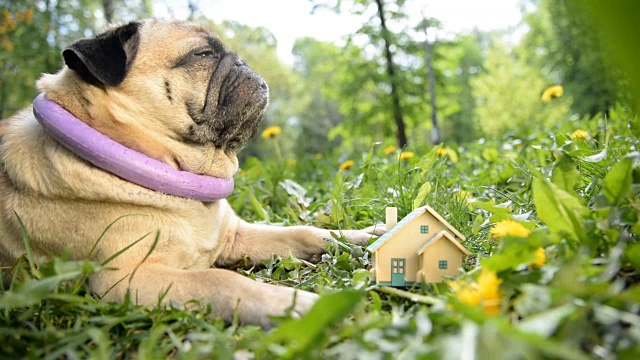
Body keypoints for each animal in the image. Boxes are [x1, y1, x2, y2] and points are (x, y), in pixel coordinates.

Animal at [0, 20, 382, 330]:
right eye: (203, 54)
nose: (242, 61)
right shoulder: (127, 279)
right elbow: (219, 280)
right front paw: (291, 305)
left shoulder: (236, 237)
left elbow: (304, 233)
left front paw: (362, 236)